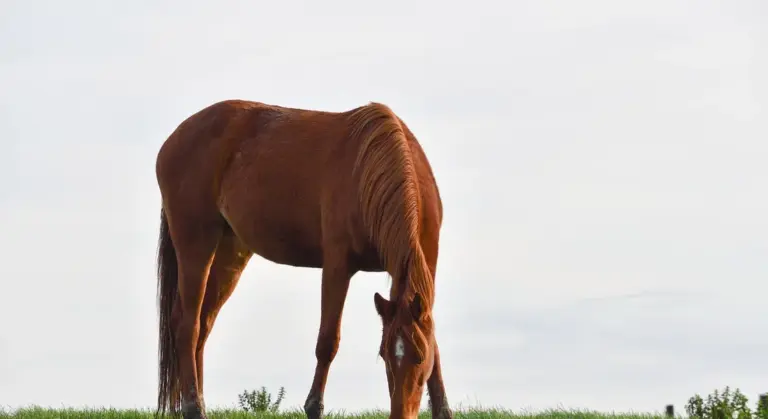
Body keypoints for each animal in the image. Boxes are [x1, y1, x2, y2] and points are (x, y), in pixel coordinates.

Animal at [154, 99, 452, 419]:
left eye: (419, 356)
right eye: (384, 355)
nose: (401, 413)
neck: (372, 170)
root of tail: (173, 141)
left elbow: (434, 342)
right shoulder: (337, 266)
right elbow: (327, 341)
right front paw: (314, 406)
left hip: (228, 252)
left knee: (203, 323)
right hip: (196, 243)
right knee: (187, 324)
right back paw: (193, 406)